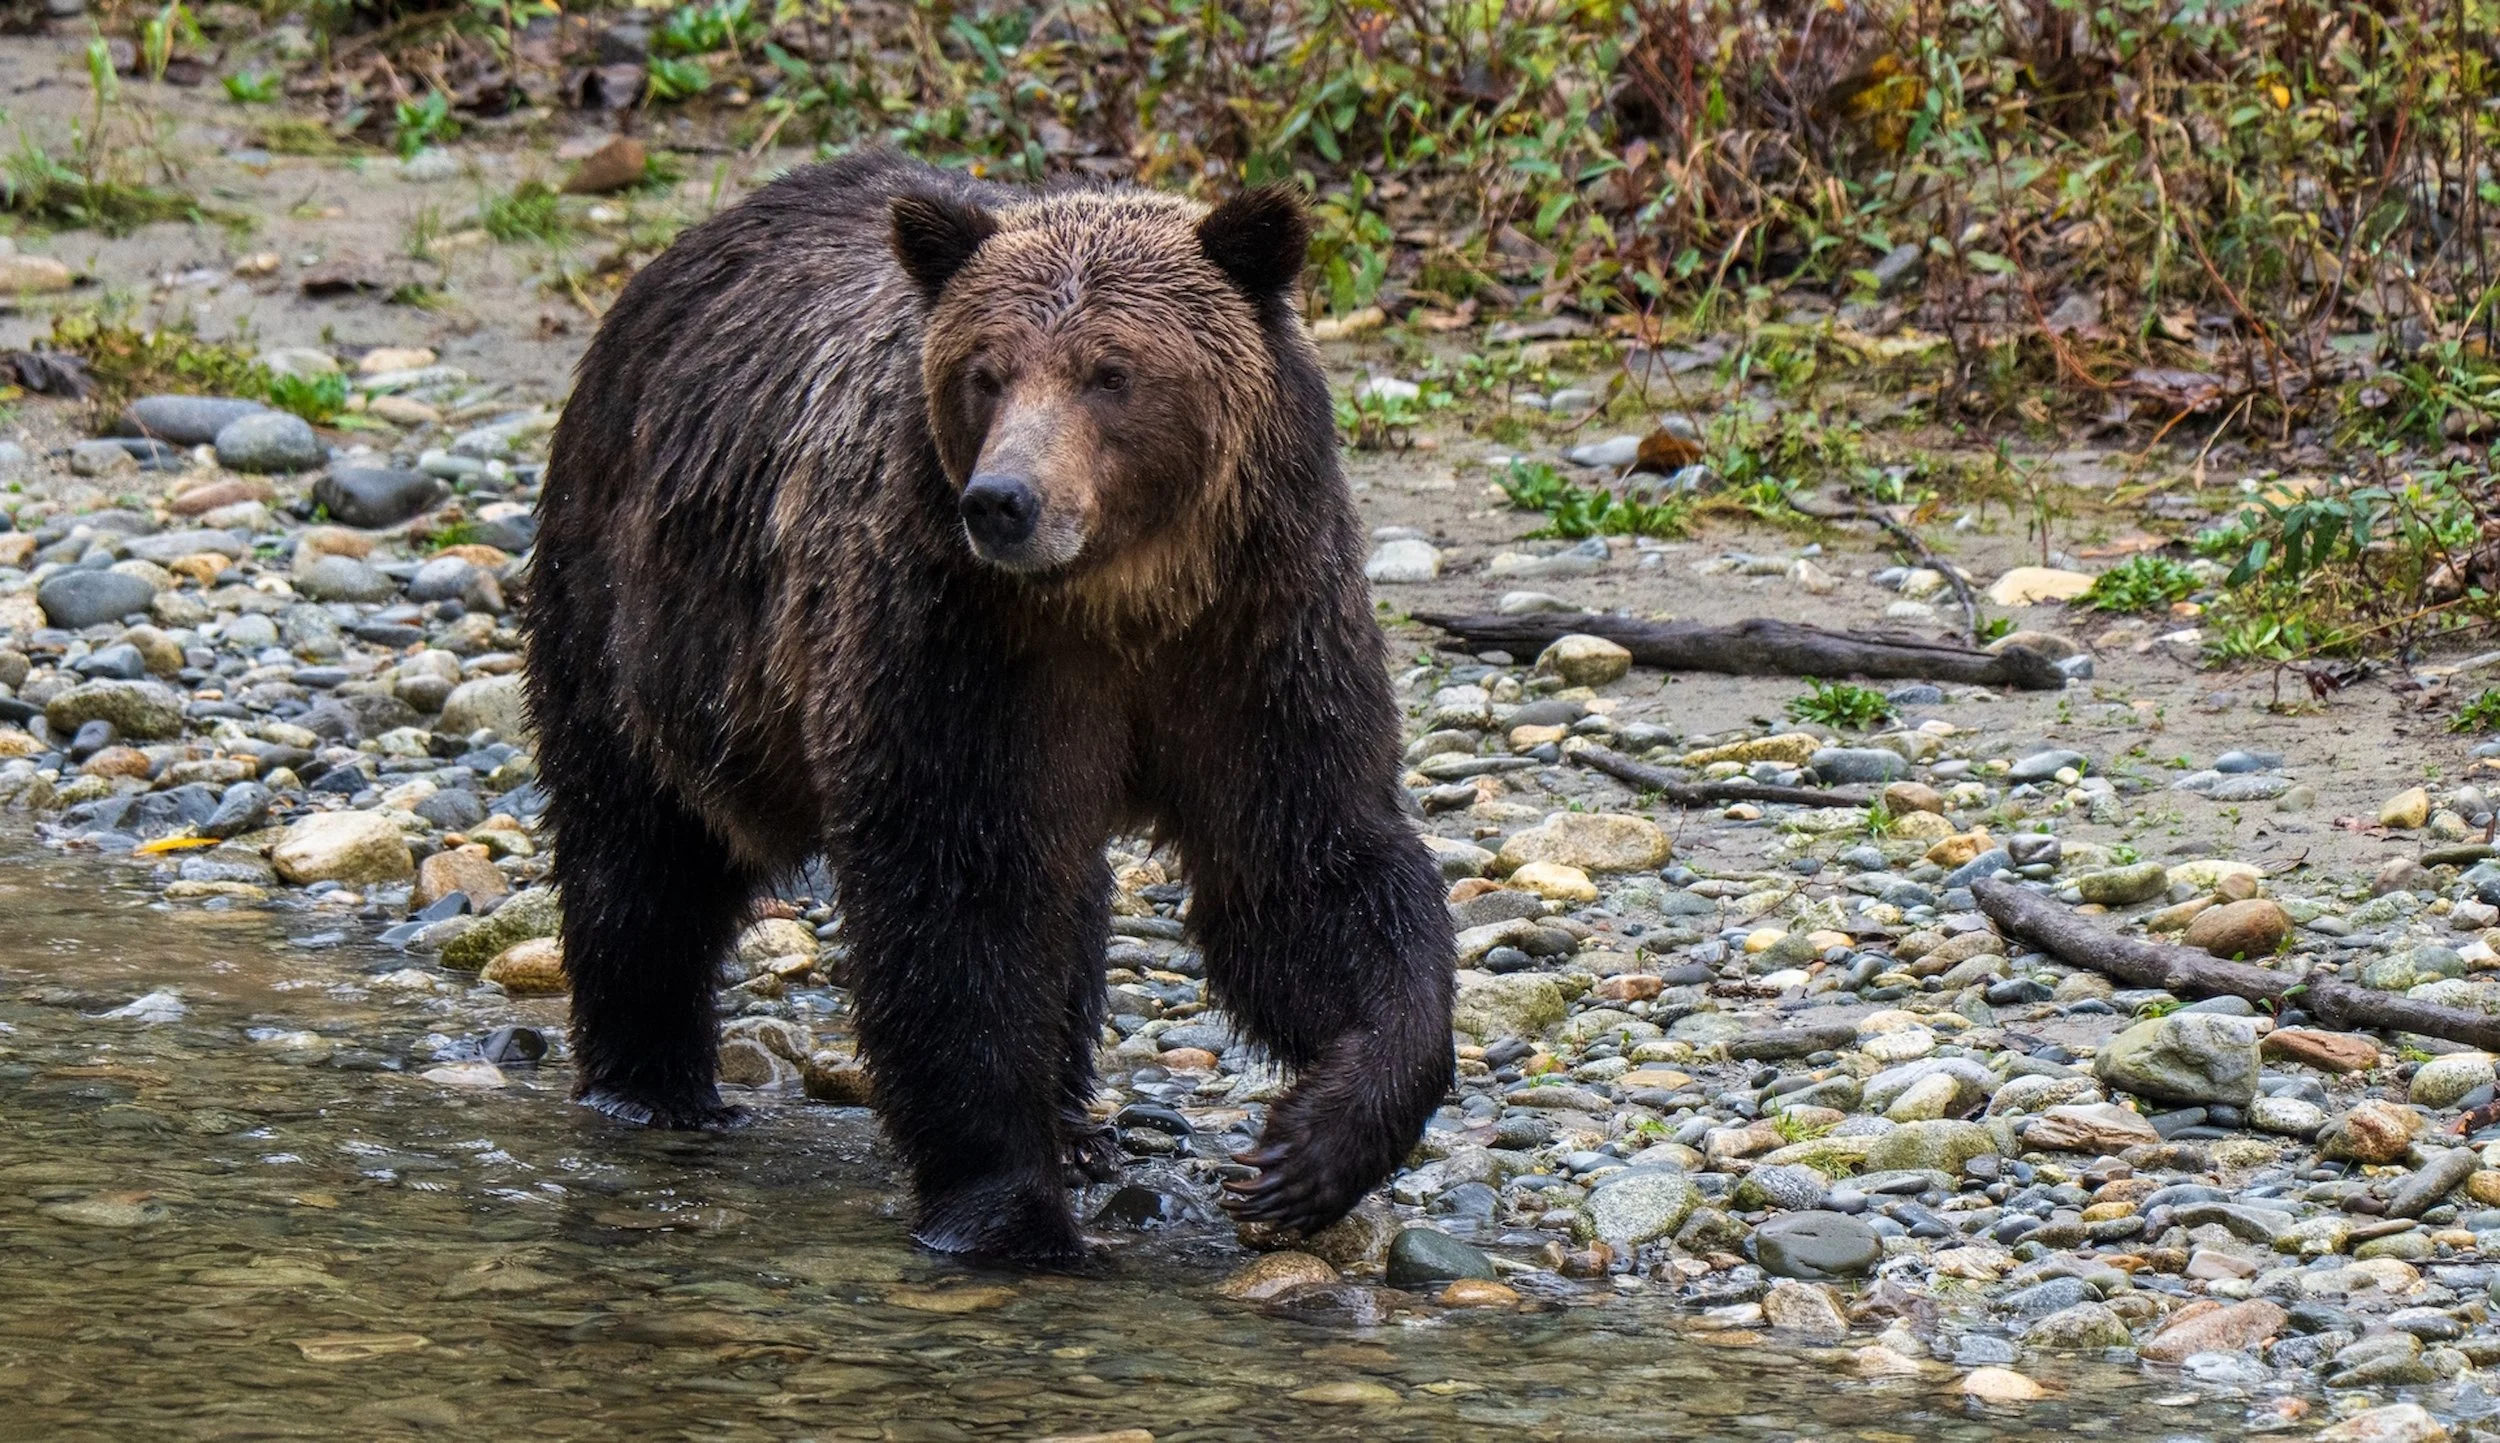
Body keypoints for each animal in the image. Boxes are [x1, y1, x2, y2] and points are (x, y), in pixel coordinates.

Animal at [523, 149, 1456, 1265]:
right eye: (986, 370)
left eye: (1111, 372)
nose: (1003, 499)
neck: (1124, 598)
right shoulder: (958, 640)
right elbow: (960, 898)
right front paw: (1010, 1213)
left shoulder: (1260, 632)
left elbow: (1306, 869)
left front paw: (1306, 1152)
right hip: (641, 610)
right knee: (641, 848)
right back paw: (655, 1085)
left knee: (1068, 897)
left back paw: (1077, 1122)